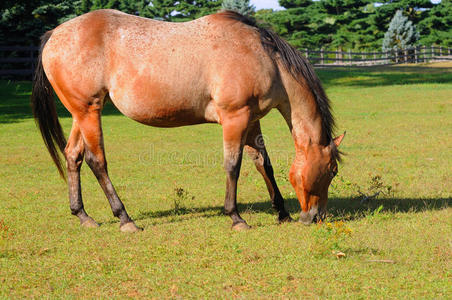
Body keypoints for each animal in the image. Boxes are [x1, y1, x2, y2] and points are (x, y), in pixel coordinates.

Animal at [30, 9, 342, 232]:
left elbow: (263, 163)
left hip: (81, 113)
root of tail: (54, 34)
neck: (263, 57)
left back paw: (83, 215)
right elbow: (233, 166)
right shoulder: (235, 118)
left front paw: (282, 212)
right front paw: (236, 217)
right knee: (97, 162)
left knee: (73, 156)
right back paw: (125, 219)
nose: (317, 216)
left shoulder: (252, 120)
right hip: (89, 112)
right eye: (332, 171)